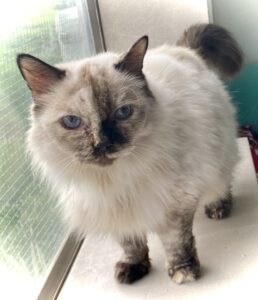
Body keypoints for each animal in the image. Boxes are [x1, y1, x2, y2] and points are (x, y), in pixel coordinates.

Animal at [17, 23, 243, 284]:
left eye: (123, 112)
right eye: (72, 122)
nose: (102, 144)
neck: (113, 178)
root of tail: (182, 50)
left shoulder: (175, 202)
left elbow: (177, 243)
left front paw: (183, 272)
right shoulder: (117, 209)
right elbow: (131, 243)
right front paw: (134, 267)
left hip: (218, 154)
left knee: (223, 181)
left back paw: (218, 207)